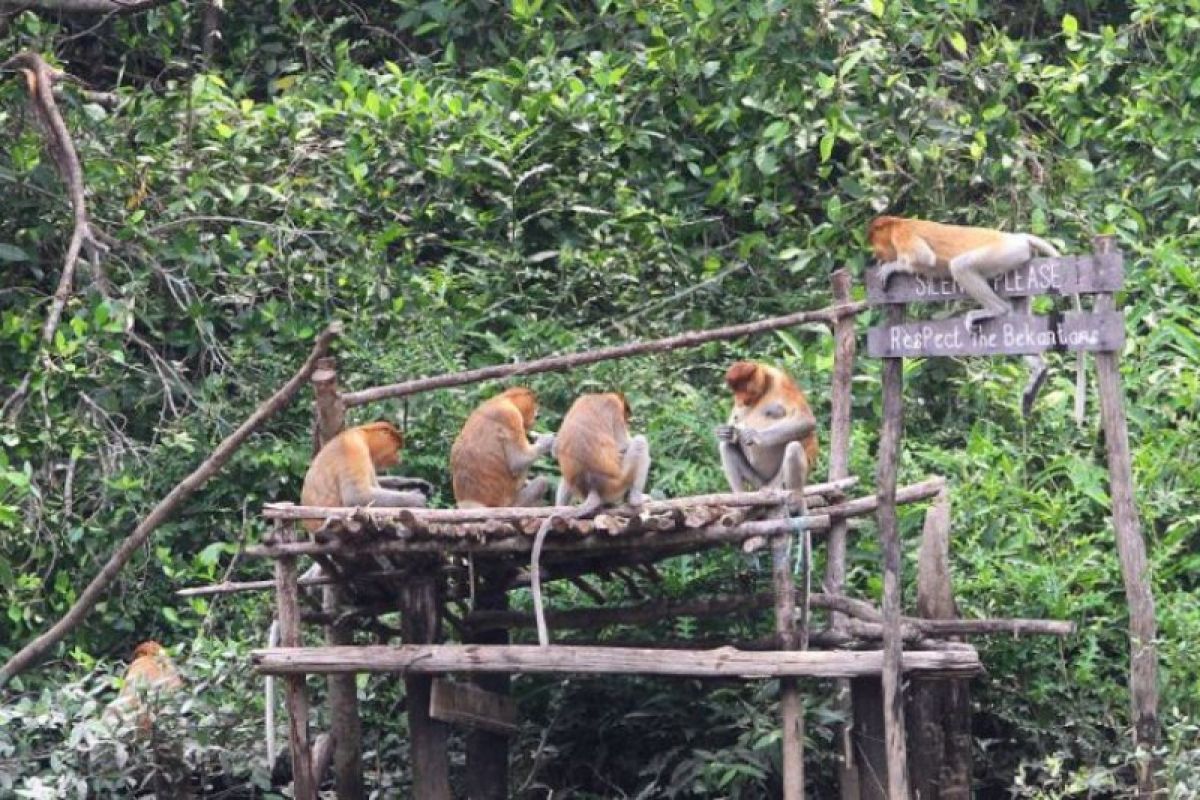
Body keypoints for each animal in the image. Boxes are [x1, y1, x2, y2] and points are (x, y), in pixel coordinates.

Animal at [530, 391, 652, 647]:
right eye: (625, 413)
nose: (629, 419)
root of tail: (594, 487)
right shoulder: (612, 408)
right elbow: (625, 444)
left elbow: (557, 448)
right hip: (618, 481)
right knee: (639, 443)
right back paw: (637, 499)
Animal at [715, 359, 820, 491]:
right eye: (735, 390)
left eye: (743, 386)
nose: (740, 399)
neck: (765, 385)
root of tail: (767, 485)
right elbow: (735, 420)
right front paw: (724, 431)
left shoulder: (781, 382)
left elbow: (805, 419)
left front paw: (753, 435)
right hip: (758, 481)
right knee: (726, 446)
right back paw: (740, 493)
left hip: (779, 481)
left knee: (794, 448)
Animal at [868, 215, 1084, 422]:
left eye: (875, 241)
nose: (877, 256)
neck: (897, 222)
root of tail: (1017, 237)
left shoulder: (903, 234)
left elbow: (924, 258)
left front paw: (890, 267)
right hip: (1020, 265)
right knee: (1018, 322)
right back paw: (1038, 371)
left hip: (1004, 253)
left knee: (961, 266)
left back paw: (995, 310)